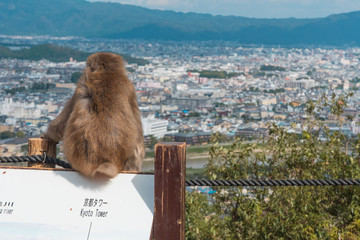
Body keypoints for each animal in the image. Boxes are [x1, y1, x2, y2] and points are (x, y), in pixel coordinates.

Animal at [41, 52, 143, 180]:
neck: (106, 73)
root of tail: (106, 162)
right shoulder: (130, 87)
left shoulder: (81, 83)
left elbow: (61, 123)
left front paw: (48, 135)